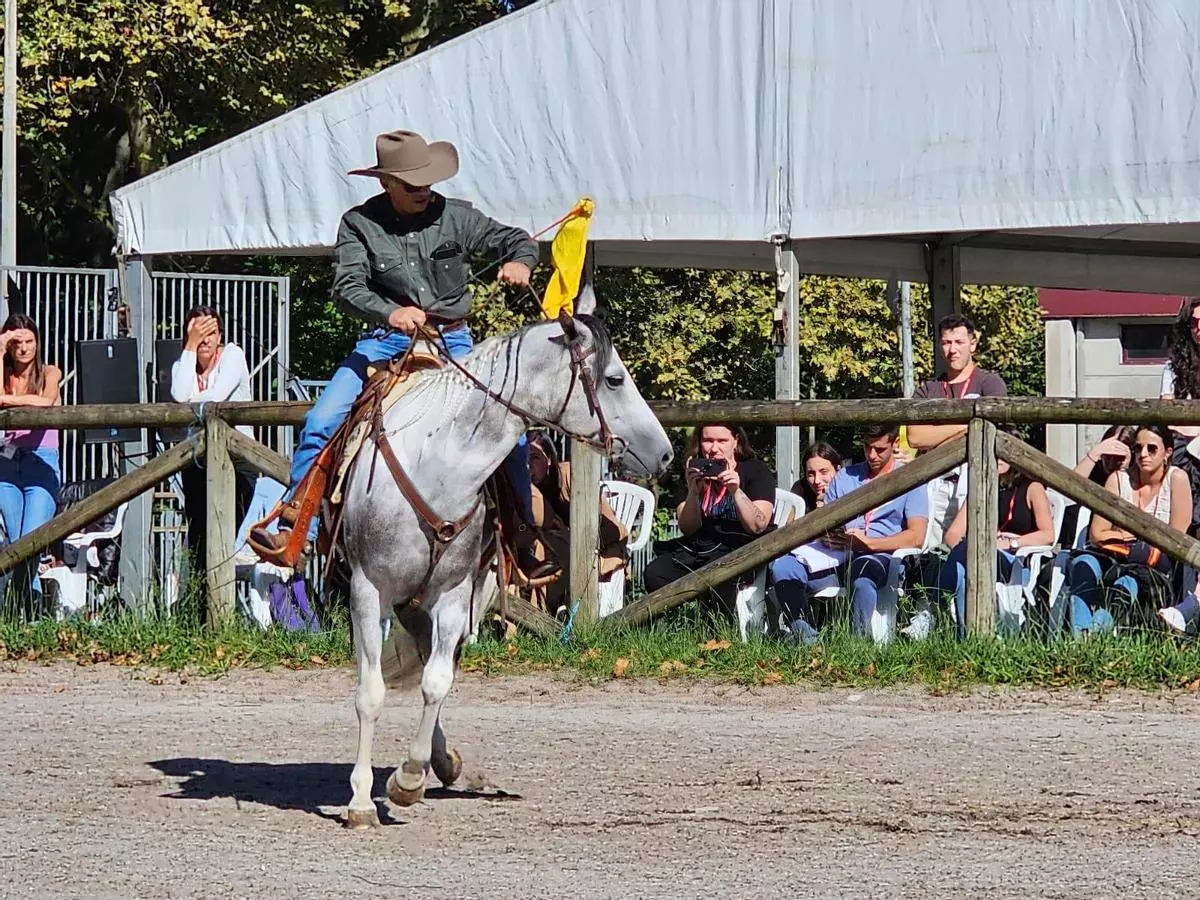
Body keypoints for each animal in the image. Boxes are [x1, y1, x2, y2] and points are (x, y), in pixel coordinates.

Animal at [338, 314, 673, 828]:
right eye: (614, 379)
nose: (666, 453)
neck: (440, 467)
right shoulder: (367, 591)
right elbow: (370, 694)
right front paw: (359, 801)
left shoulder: (454, 594)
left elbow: (436, 683)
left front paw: (408, 778)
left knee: (434, 666)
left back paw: (441, 763)